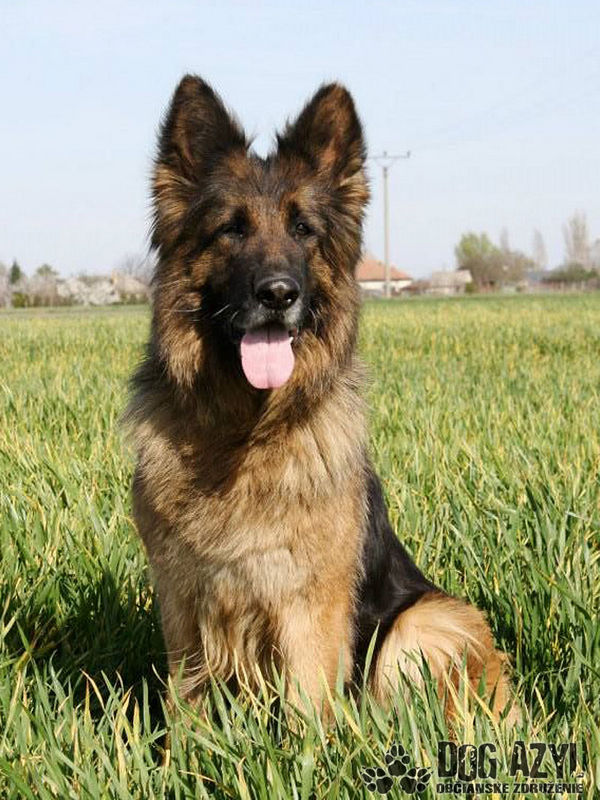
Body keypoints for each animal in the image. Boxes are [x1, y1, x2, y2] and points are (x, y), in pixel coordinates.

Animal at [126, 75, 514, 719]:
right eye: (232, 229)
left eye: (303, 229)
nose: (278, 293)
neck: (246, 431)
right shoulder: (182, 603)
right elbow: (188, 710)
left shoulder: (310, 609)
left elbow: (308, 709)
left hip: (424, 621)